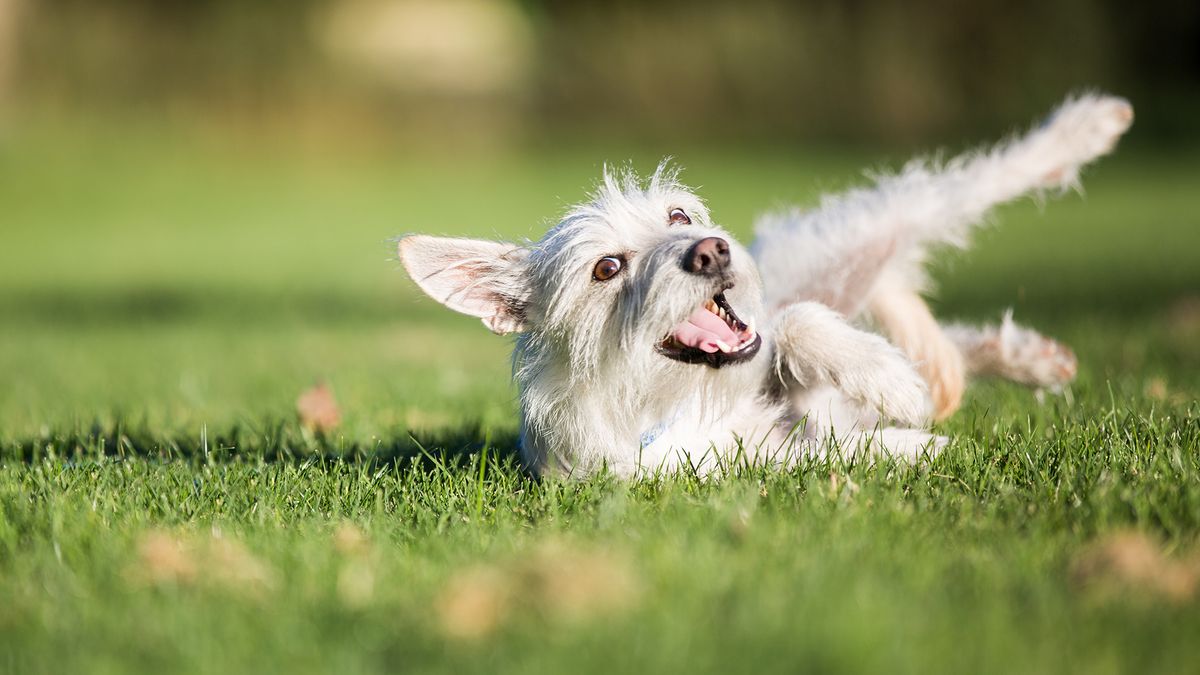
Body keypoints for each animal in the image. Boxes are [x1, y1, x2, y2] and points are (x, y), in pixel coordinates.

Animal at [400, 91, 1132, 475]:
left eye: (677, 216)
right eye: (606, 268)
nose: (709, 250)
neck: (668, 400)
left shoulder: (770, 350)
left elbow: (798, 325)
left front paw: (891, 384)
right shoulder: (744, 466)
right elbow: (835, 451)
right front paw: (914, 442)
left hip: (869, 229)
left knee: (977, 181)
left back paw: (1085, 126)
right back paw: (1025, 359)